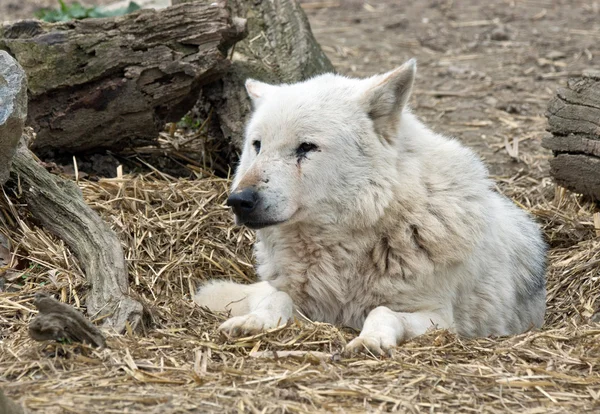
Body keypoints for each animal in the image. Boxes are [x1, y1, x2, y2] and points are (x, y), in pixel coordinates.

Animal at [195, 59, 548, 354]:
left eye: (306, 147)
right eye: (257, 145)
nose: (239, 201)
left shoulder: (438, 318)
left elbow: (382, 311)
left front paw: (370, 340)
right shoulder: (299, 299)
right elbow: (275, 297)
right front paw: (251, 323)